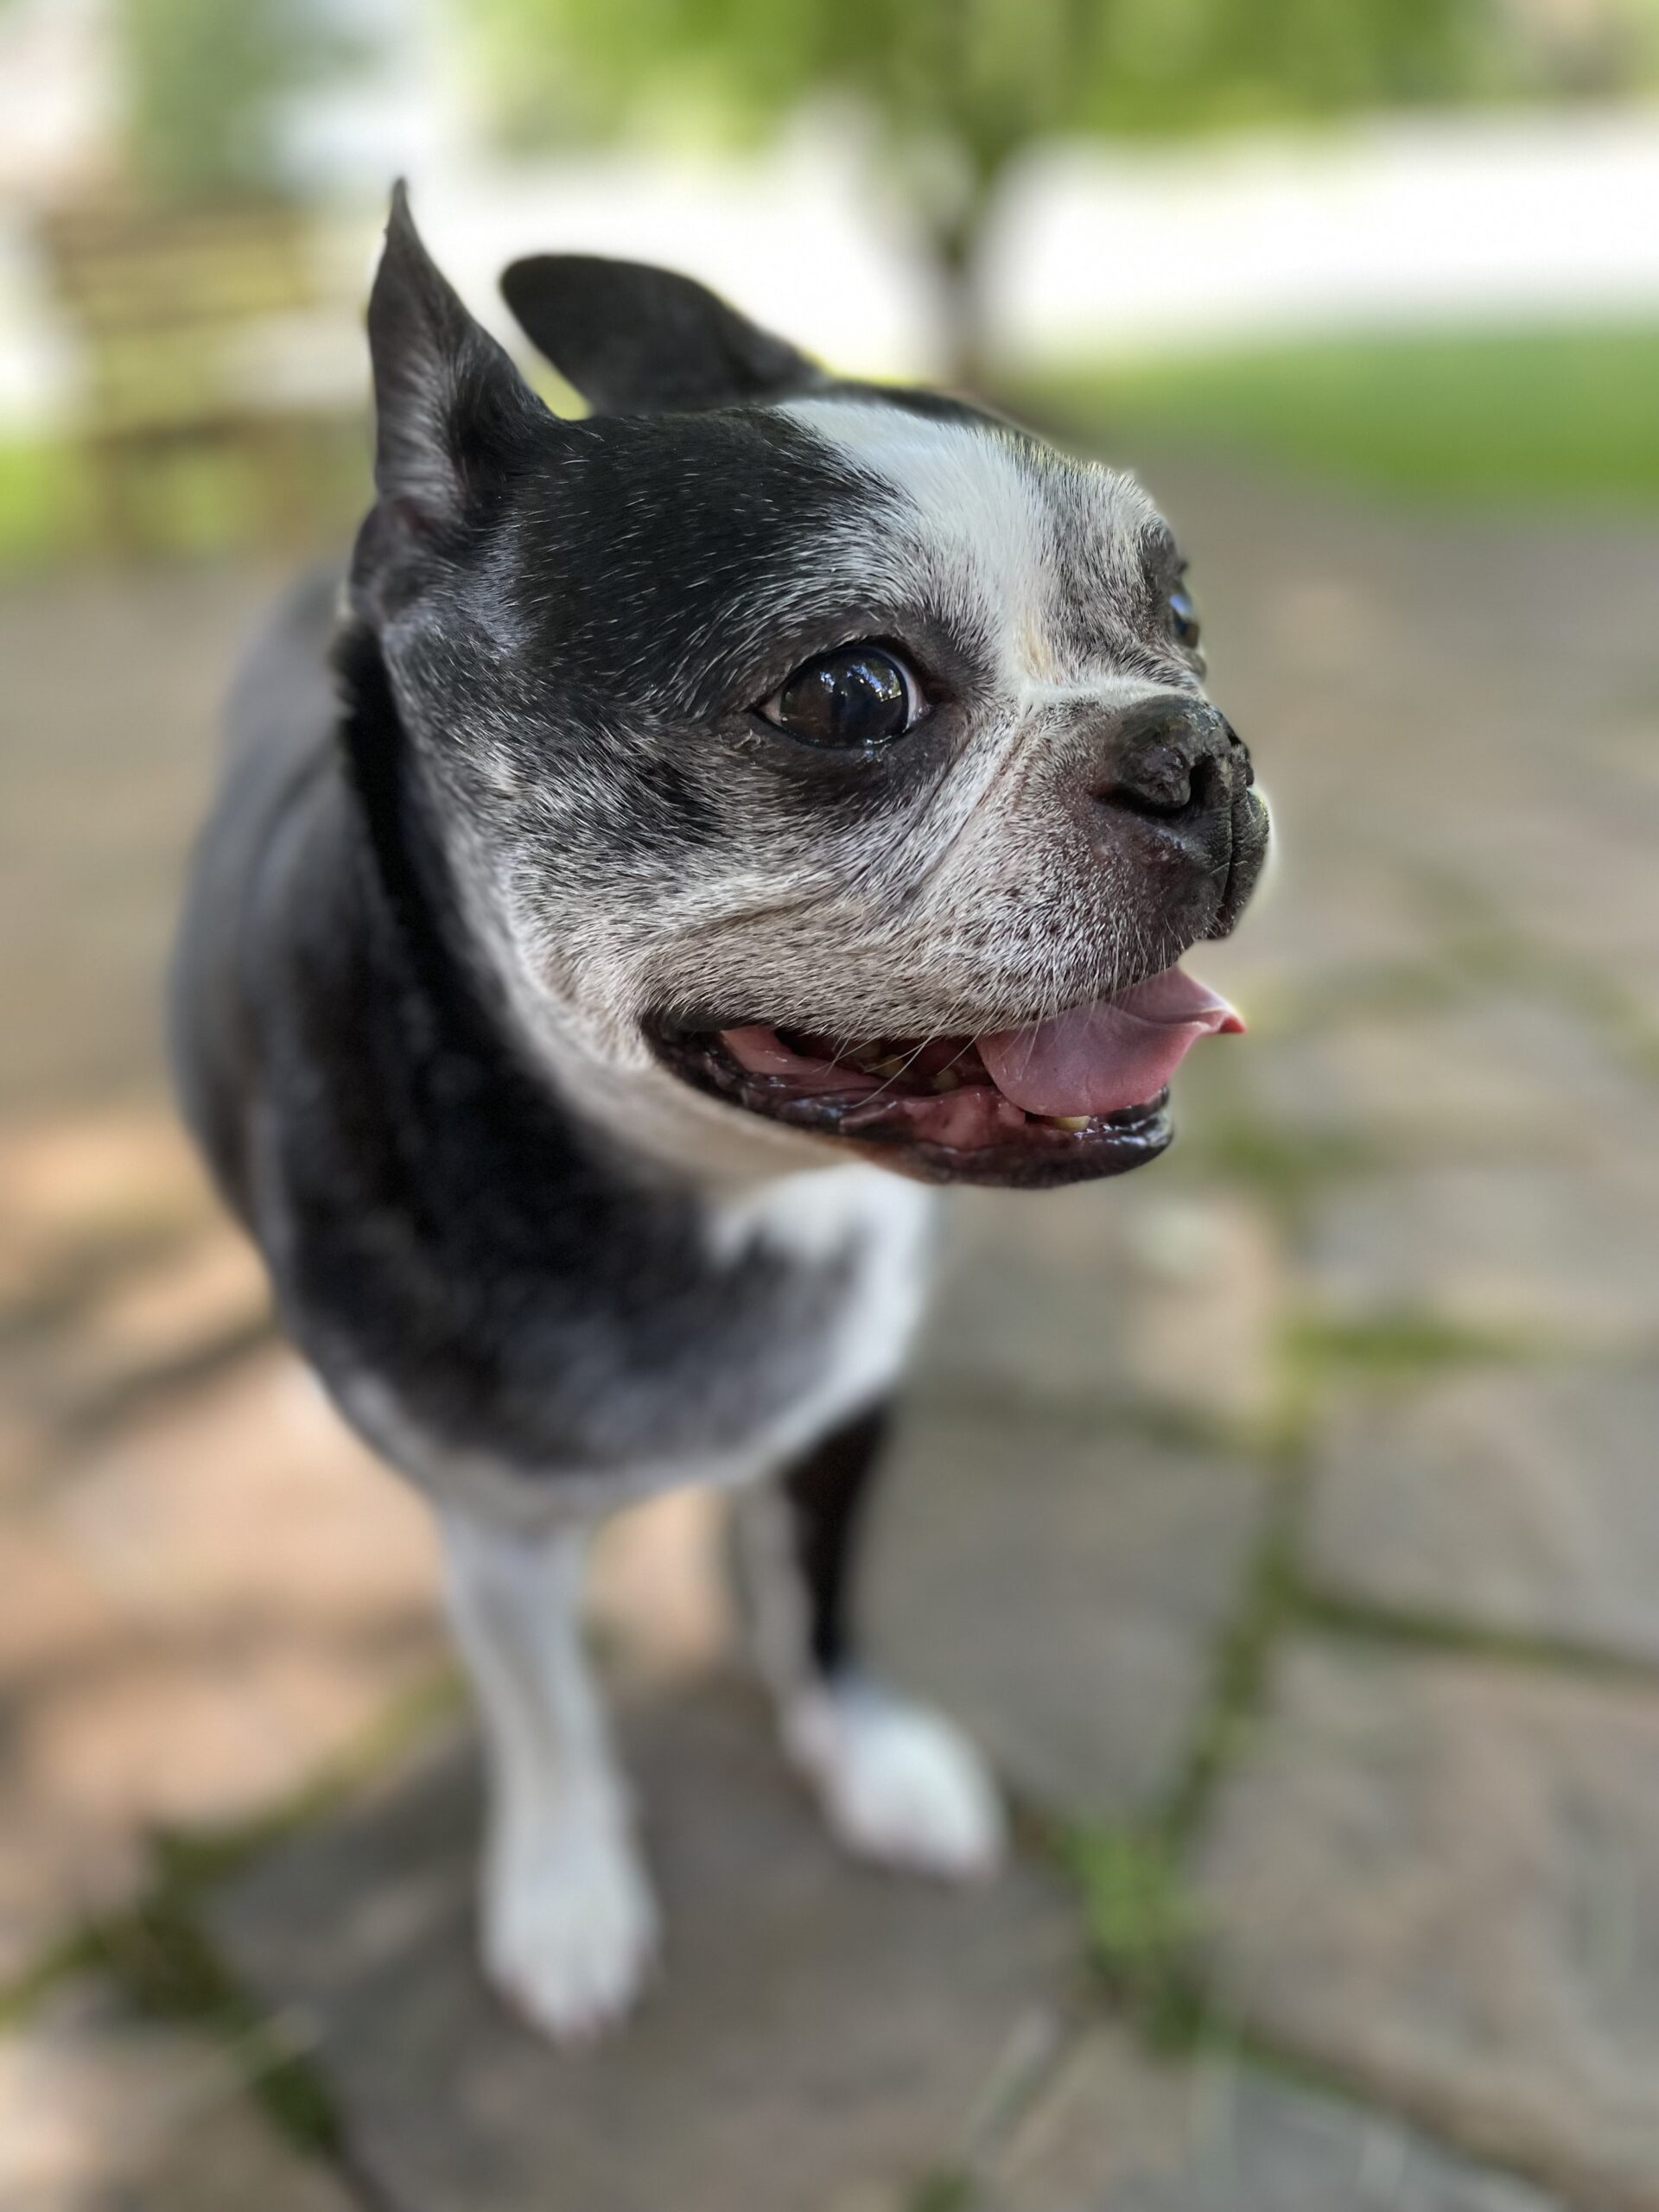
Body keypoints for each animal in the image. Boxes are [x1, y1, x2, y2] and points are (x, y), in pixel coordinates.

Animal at [169, 184, 1268, 2042]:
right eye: (850, 693)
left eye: (1180, 610)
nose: (1200, 750)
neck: (731, 1199)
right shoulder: (499, 1527)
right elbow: (546, 1711)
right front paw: (566, 1888)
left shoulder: (845, 1406)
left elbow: (822, 1588)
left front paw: (864, 1750)